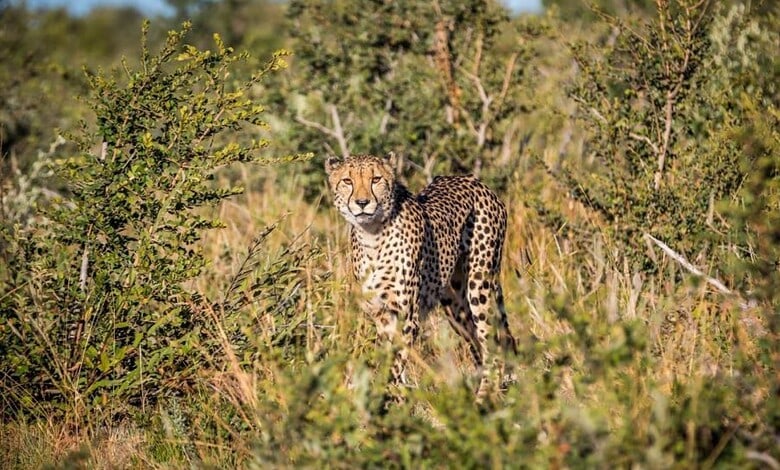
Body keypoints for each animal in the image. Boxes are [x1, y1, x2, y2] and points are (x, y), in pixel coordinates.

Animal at [325, 152, 517, 402]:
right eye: (347, 181)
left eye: (376, 179)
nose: (362, 203)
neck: (372, 235)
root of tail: (473, 179)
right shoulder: (381, 315)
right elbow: (387, 359)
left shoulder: (407, 315)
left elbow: (395, 363)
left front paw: (387, 397)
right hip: (455, 305)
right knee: (481, 345)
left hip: (479, 285)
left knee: (493, 342)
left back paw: (483, 398)